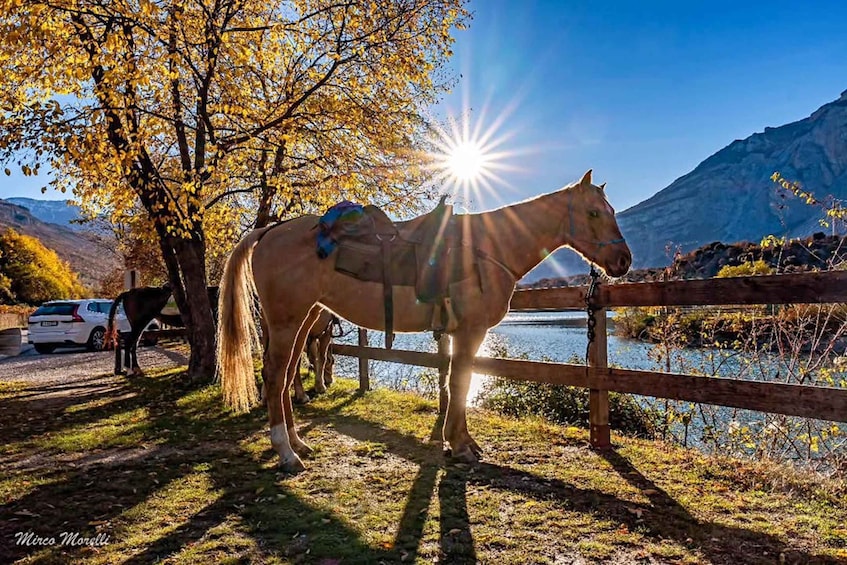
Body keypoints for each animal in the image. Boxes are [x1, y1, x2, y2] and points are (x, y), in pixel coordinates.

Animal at [217, 170, 631, 472]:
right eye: (594, 213)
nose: (624, 261)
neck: (487, 249)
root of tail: (269, 231)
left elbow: (453, 382)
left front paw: (457, 441)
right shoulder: (470, 332)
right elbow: (461, 383)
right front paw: (461, 445)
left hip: (305, 320)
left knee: (287, 376)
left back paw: (298, 443)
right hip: (287, 322)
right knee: (274, 378)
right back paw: (287, 453)